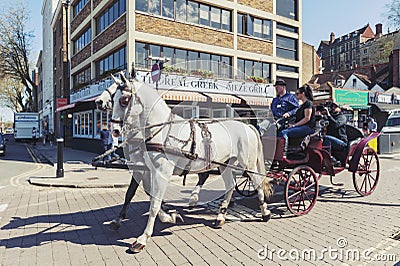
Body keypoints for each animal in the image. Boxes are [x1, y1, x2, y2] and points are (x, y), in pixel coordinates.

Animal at [95, 72, 274, 254]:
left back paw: (265, 212)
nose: (115, 130)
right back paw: (220, 216)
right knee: (230, 186)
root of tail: (248, 127)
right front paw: (169, 216)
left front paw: (143, 238)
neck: (160, 131)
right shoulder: (145, 170)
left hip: (249, 165)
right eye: (114, 97)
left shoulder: (160, 172)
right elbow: (137, 195)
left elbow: (154, 203)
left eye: (124, 100)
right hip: (224, 164)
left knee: (257, 183)